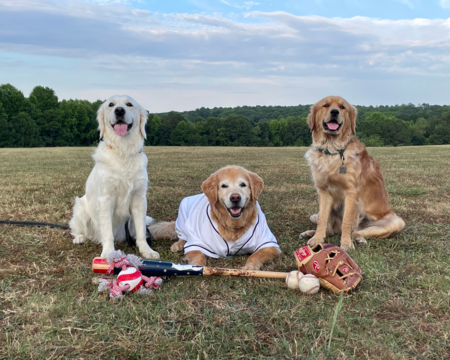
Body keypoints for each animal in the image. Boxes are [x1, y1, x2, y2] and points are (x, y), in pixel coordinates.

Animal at [69, 95, 161, 258]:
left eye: (129, 104)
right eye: (111, 105)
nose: (119, 111)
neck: (123, 151)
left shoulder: (139, 199)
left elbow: (141, 231)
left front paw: (146, 251)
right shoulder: (106, 199)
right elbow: (107, 232)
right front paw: (108, 253)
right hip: (80, 209)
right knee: (78, 230)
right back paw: (79, 238)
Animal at [149, 166, 280, 270]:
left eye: (243, 185)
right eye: (224, 186)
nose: (235, 197)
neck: (233, 224)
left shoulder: (269, 245)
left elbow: (255, 255)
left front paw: (250, 267)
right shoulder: (195, 244)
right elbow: (199, 255)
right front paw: (197, 266)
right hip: (182, 219)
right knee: (183, 238)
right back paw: (177, 245)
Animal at [300, 95, 406, 250]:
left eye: (342, 107)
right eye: (326, 105)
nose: (335, 112)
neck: (332, 150)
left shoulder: (350, 192)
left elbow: (346, 221)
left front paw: (346, 244)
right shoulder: (324, 191)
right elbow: (322, 220)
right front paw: (316, 239)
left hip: (395, 221)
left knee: (356, 232)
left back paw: (359, 239)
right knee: (329, 230)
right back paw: (309, 233)